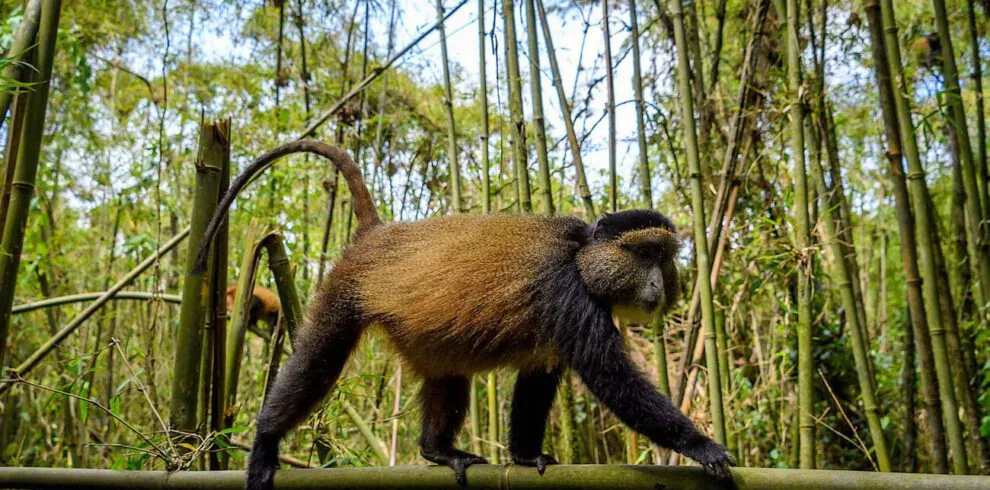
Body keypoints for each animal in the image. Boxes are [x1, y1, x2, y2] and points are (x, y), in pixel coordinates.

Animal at [192, 141, 735, 490]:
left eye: (664, 259)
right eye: (642, 253)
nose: (657, 284)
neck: (583, 258)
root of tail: (376, 235)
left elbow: (538, 380)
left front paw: (525, 455)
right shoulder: (568, 294)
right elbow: (613, 379)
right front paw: (702, 446)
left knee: (448, 375)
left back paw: (437, 450)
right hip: (344, 293)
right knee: (317, 363)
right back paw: (266, 441)